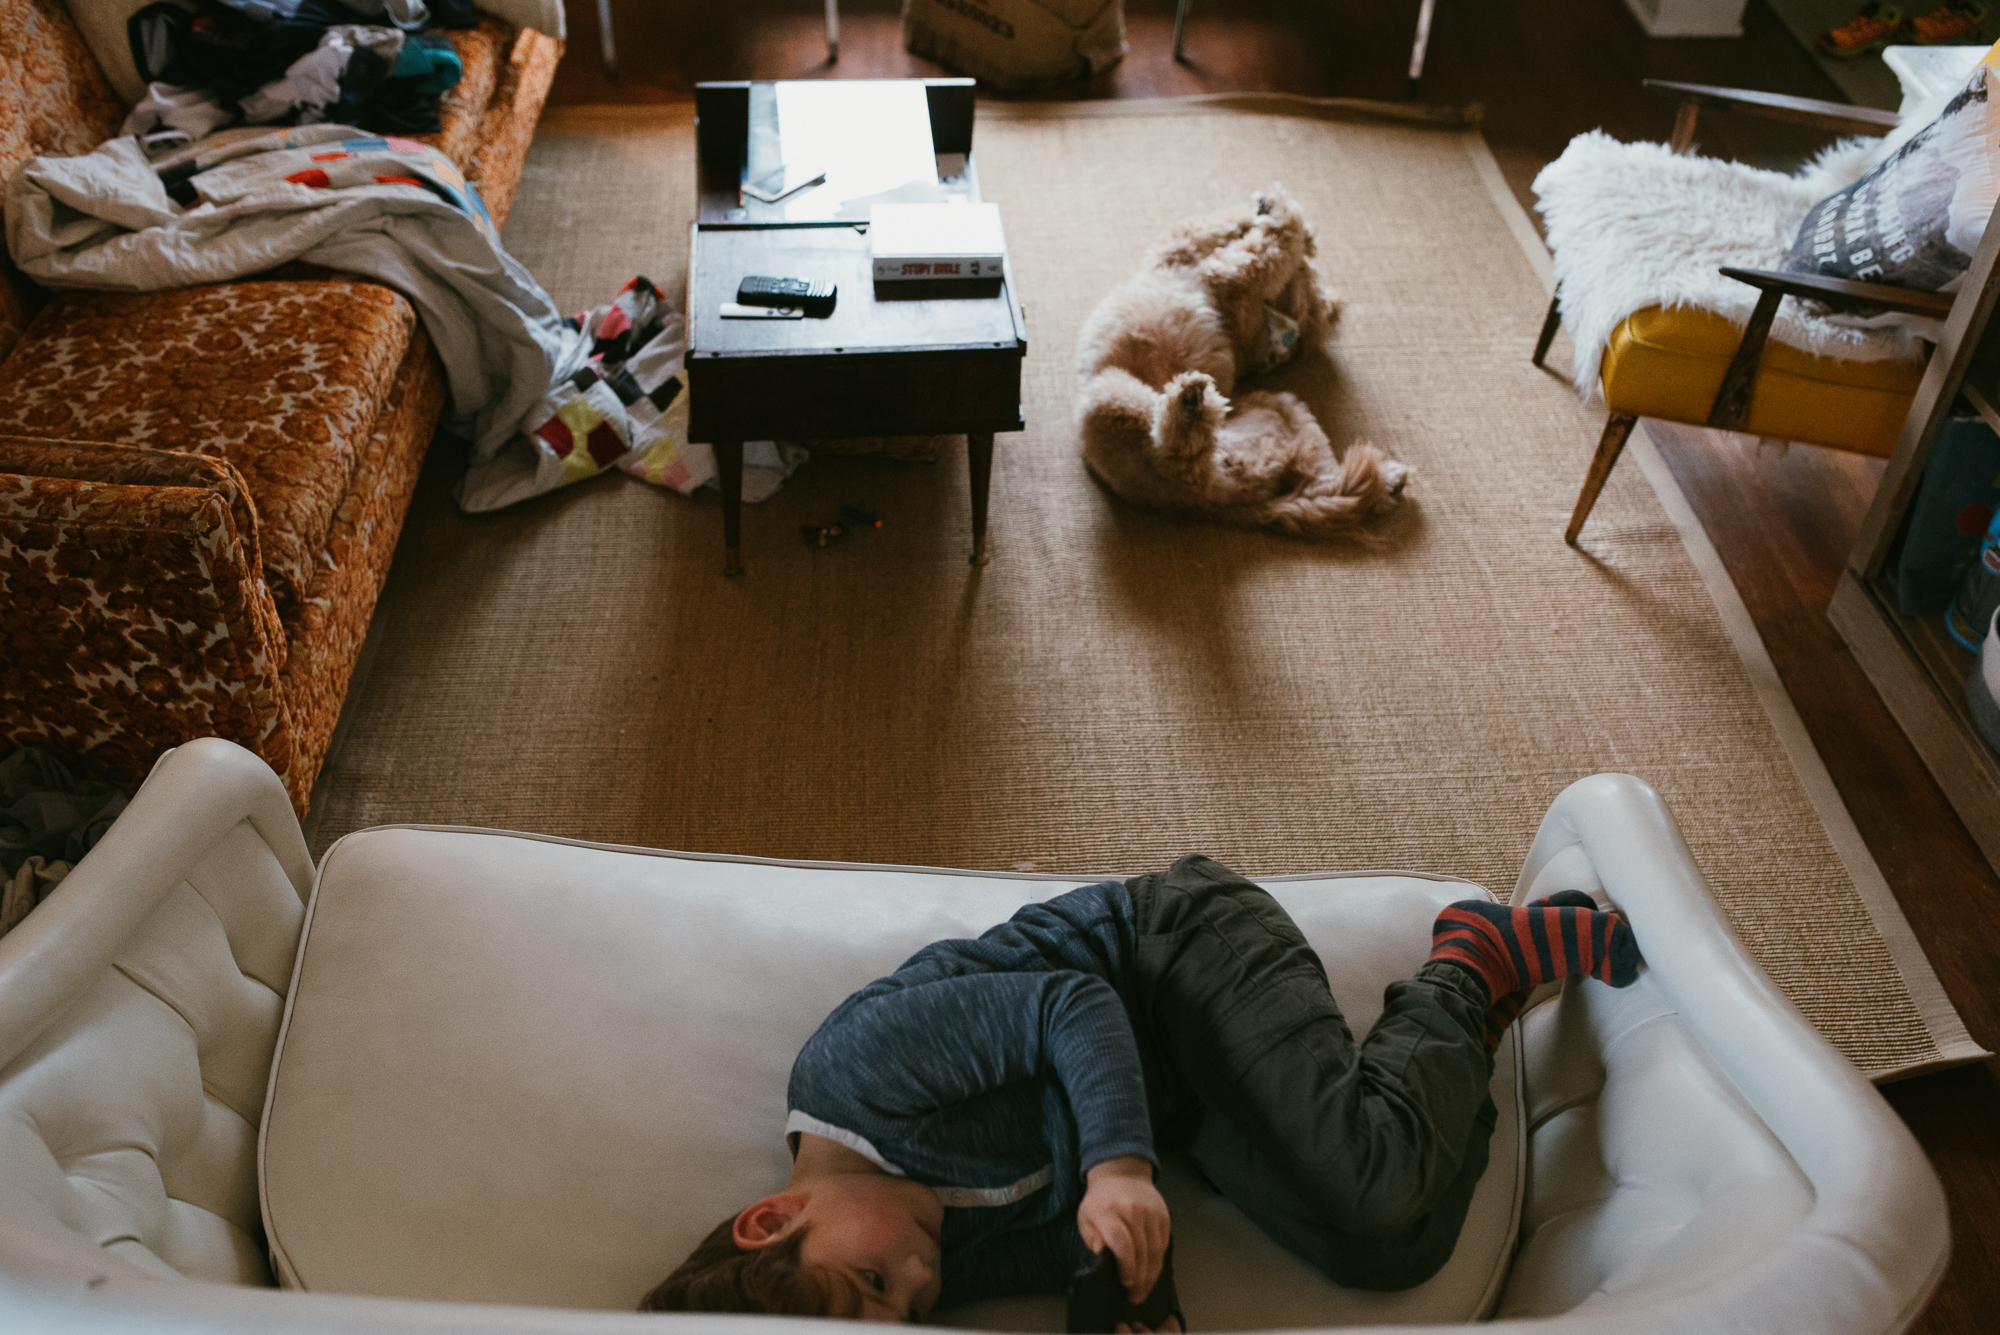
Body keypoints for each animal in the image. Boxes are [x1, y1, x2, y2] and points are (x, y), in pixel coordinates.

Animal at [1080, 183, 1408, 535]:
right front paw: (1282, 221)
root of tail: (1212, 502)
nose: (1316, 306)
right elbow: (1229, 227)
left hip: (1122, 400)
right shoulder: (1212, 263)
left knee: (1184, 457)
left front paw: (1280, 214)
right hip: (1282, 413)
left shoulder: (1225, 270)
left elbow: (1260, 239)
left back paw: (1190, 407)